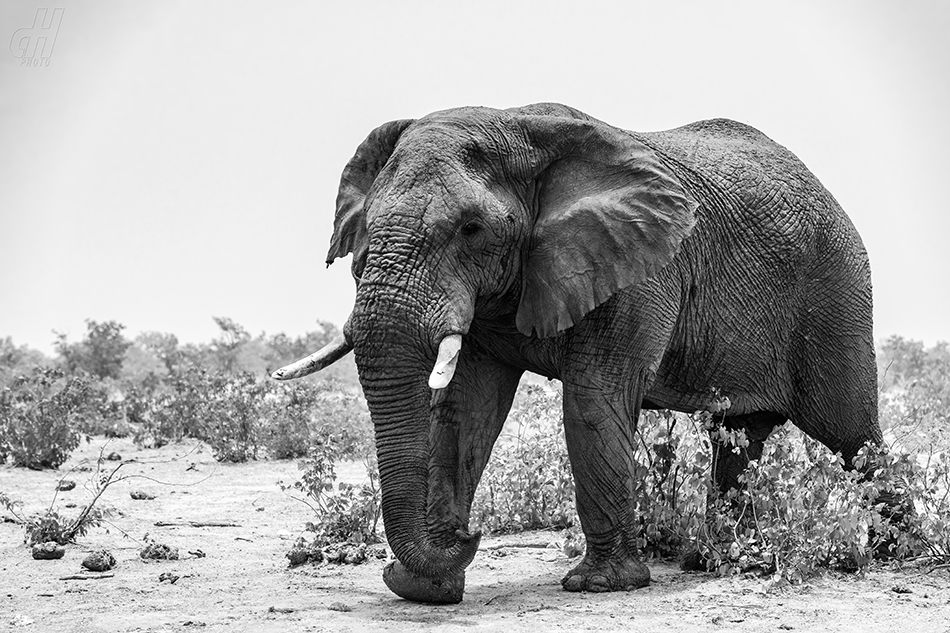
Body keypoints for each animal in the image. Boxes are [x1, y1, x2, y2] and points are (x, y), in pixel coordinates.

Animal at [272, 103, 880, 604]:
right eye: (366, 232)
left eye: (471, 229)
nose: (473, 534)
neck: (517, 127)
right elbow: (465, 411)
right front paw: (426, 588)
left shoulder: (639, 266)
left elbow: (591, 400)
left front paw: (601, 586)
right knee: (739, 439)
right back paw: (719, 561)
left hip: (837, 287)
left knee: (851, 434)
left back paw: (881, 548)